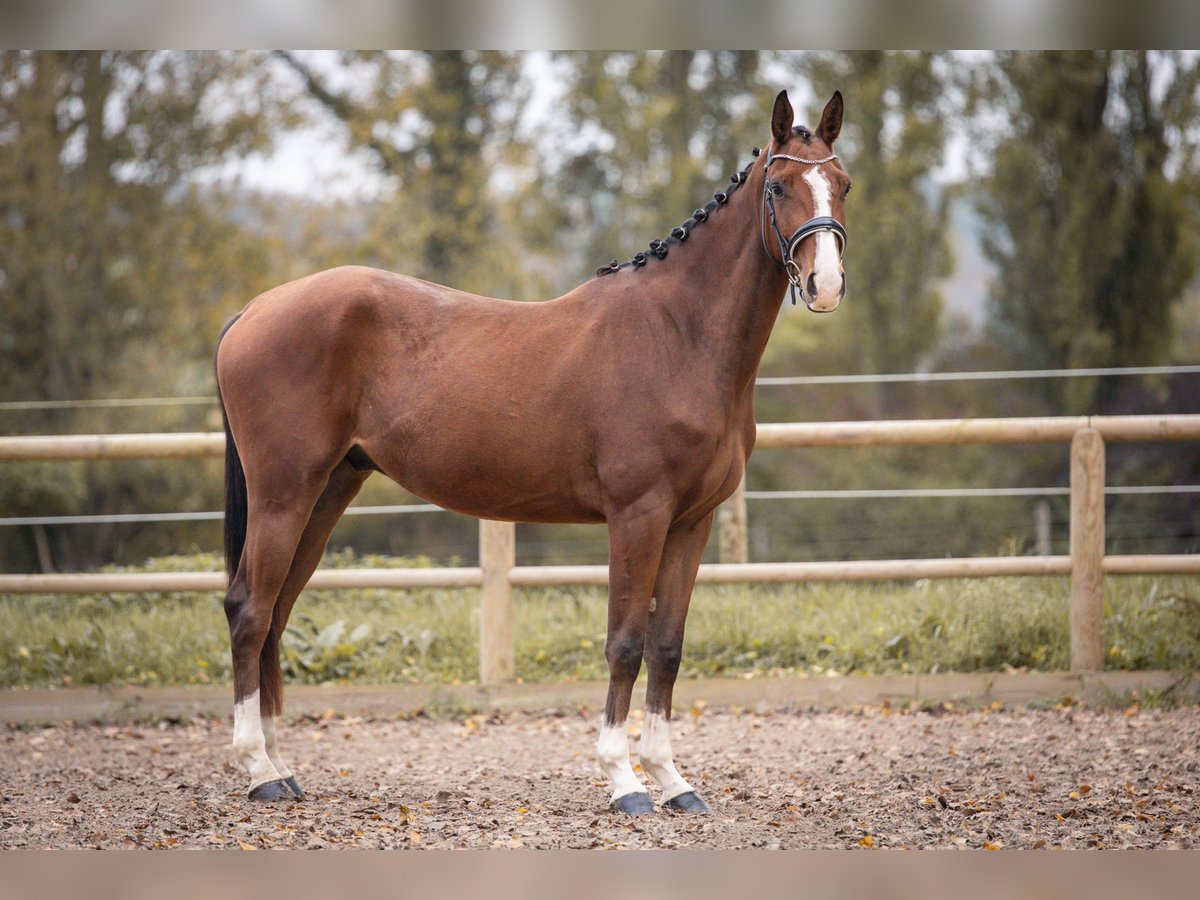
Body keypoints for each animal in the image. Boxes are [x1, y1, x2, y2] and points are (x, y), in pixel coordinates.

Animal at [218, 90, 854, 816]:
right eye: (778, 188)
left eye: (843, 184)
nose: (825, 283)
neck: (679, 336)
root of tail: (252, 312)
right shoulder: (638, 516)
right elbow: (625, 644)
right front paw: (624, 781)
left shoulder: (693, 522)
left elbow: (667, 648)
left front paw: (673, 781)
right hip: (284, 494)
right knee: (250, 610)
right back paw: (259, 771)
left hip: (326, 492)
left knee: (277, 613)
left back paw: (281, 766)